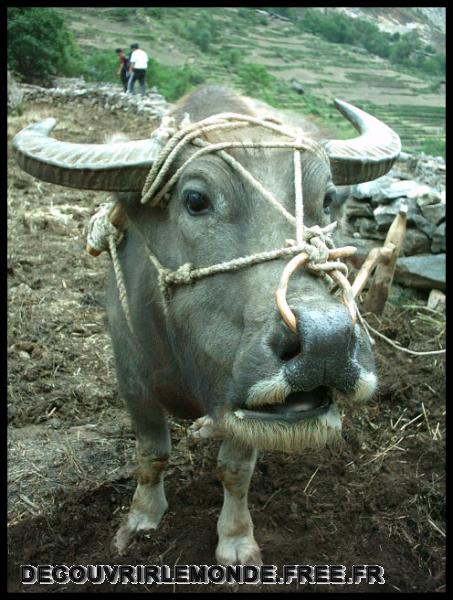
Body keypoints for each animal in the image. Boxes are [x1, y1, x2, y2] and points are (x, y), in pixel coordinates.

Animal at [12, 86, 400, 564]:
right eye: (195, 199)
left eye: (327, 198)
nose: (326, 343)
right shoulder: (132, 378)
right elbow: (152, 453)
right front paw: (140, 519)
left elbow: (234, 469)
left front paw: (235, 539)